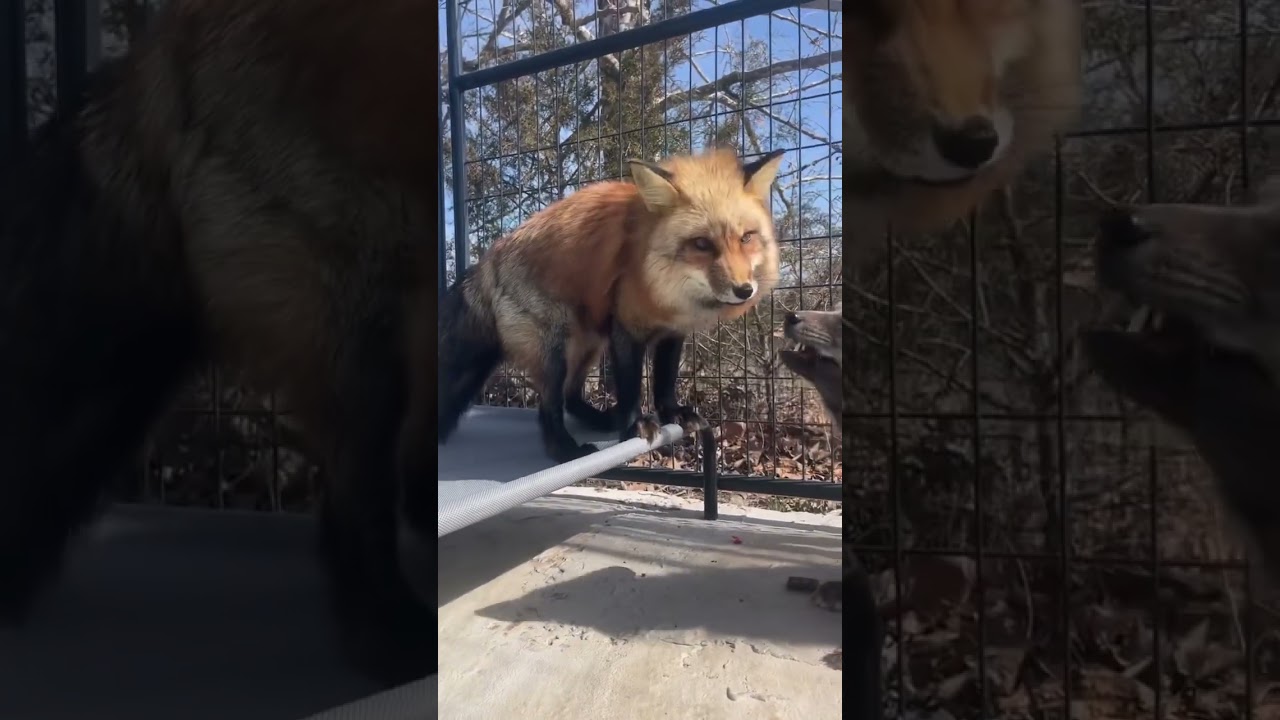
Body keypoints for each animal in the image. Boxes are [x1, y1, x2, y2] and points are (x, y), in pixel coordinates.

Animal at [438, 147, 784, 461]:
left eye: (746, 238)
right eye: (701, 244)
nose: (744, 290)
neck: (666, 290)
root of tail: (488, 259)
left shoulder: (673, 332)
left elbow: (665, 380)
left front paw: (671, 413)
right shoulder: (626, 328)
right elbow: (630, 387)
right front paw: (634, 425)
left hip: (588, 346)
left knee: (570, 396)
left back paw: (603, 419)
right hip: (555, 352)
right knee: (549, 407)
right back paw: (565, 449)